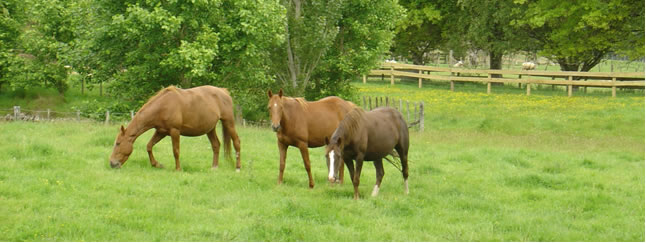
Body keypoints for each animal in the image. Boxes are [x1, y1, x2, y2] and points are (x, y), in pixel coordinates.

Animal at [110, 85, 242, 171]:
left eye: (118, 143)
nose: (112, 163)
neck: (163, 106)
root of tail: (224, 92)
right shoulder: (161, 132)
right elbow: (149, 146)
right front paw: (157, 164)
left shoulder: (175, 131)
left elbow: (176, 151)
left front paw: (178, 169)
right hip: (210, 129)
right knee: (216, 145)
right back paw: (214, 167)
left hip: (228, 122)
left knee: (236, 142)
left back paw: (238, 167)